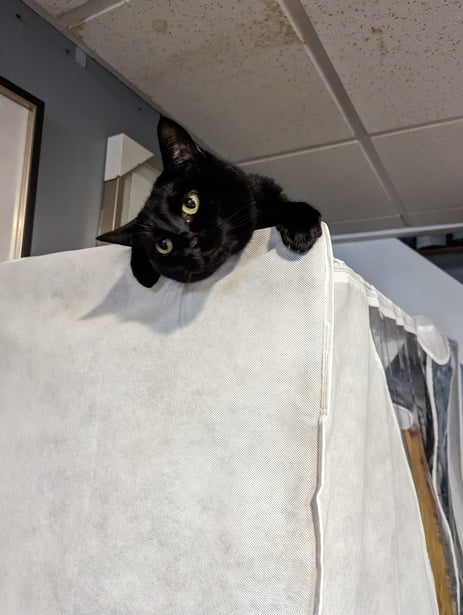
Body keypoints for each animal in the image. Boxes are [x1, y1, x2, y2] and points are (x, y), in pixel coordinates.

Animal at [98, 116, 322, 288]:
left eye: (190, 203)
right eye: (163, 245)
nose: (192, 242)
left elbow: (282, 206)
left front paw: (300, 229)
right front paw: (143, 269)